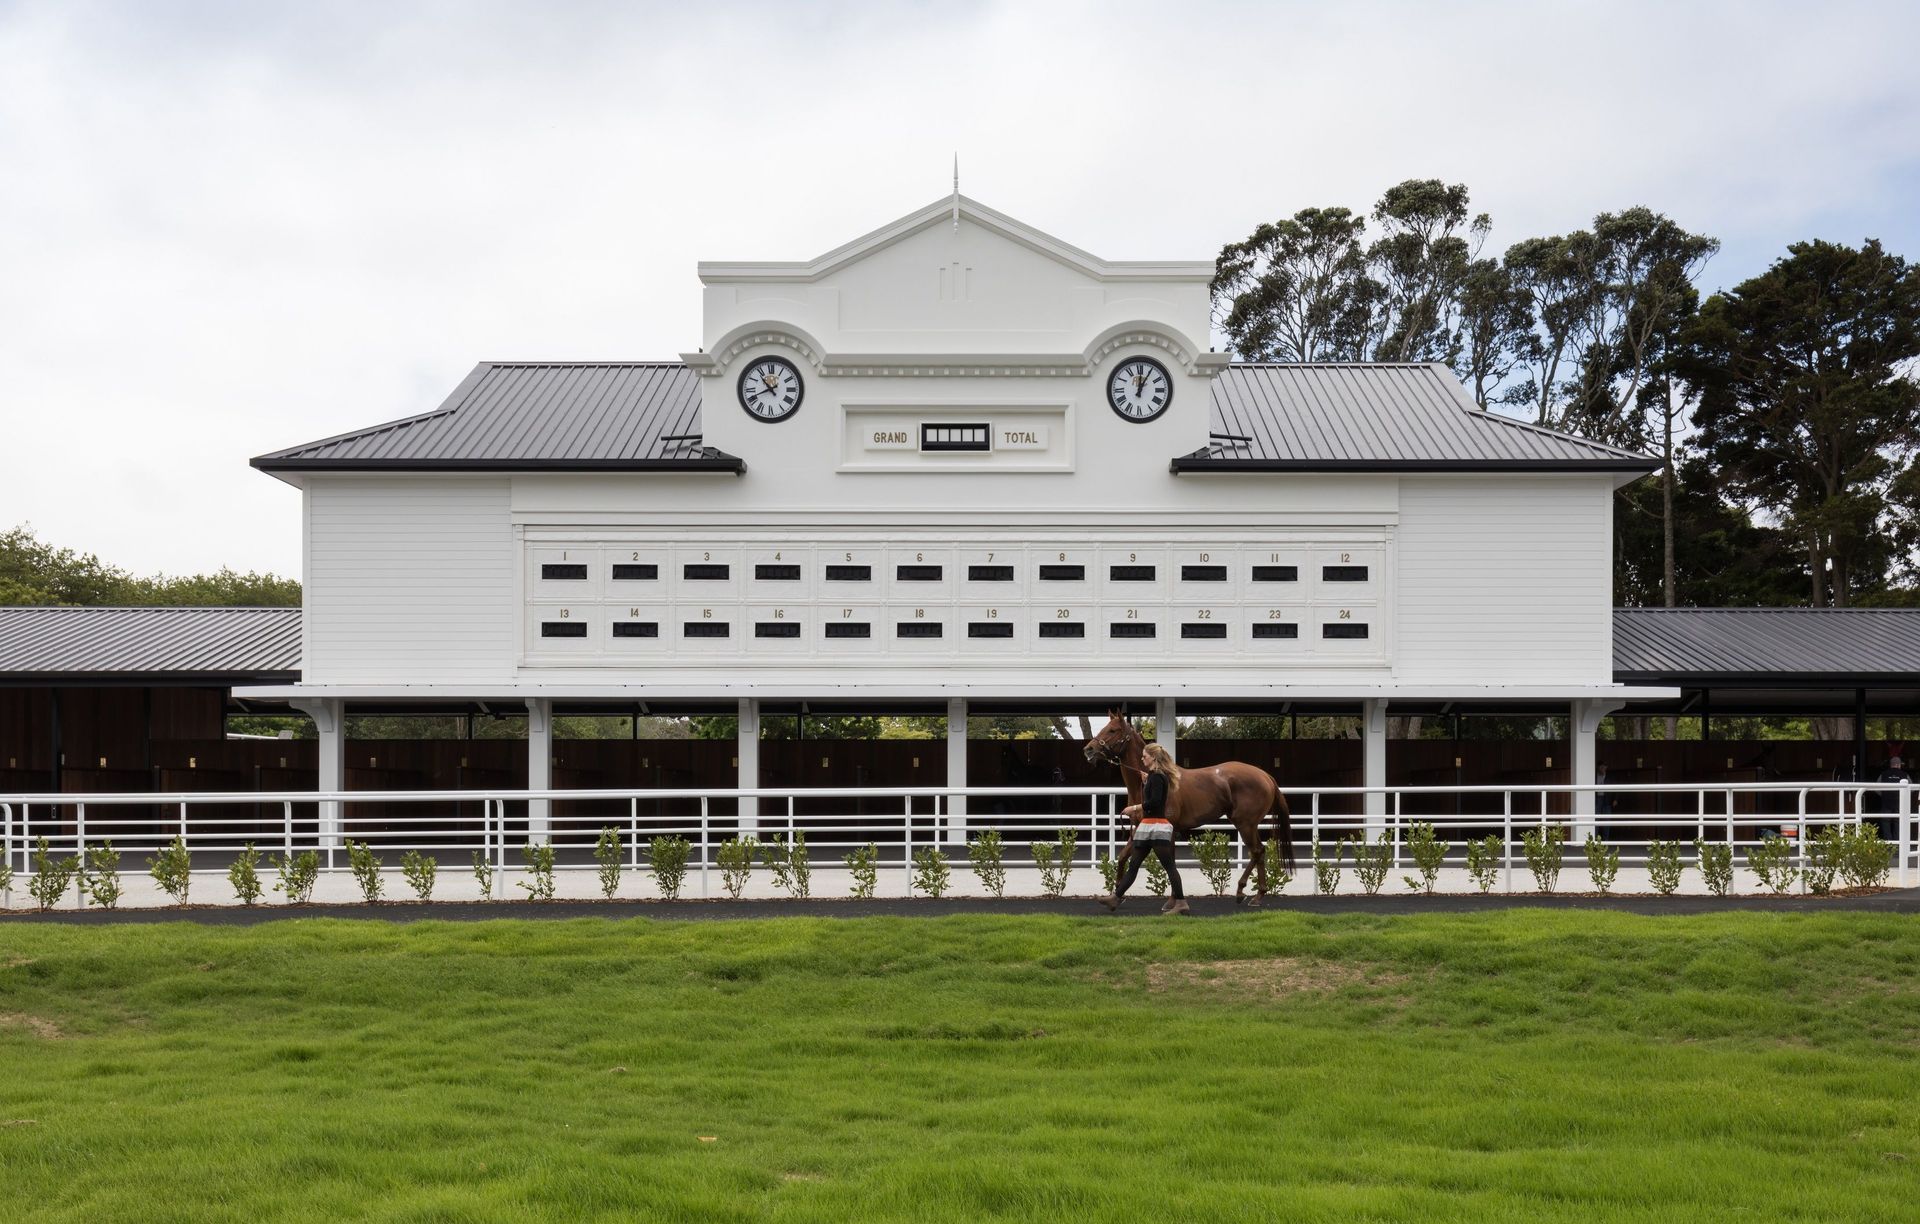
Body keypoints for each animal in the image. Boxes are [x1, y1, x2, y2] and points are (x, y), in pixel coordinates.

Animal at [1090, 713, 1297, 905]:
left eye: (1113, 730)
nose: (1088, 749)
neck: (1148, 779)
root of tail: (1266, 776)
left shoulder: (1167, 830)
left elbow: (1170, 863)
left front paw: (1172, 901)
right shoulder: (1141, 829)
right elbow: (1123, 857)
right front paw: (1117, 891)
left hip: (1245, 824)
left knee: (1257, 851)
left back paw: (1246, 892)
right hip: (1249, 825)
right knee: (1259, 852)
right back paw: (1255, 894)